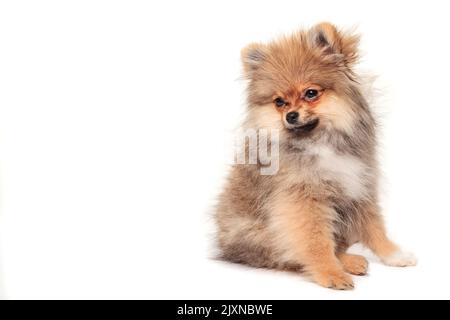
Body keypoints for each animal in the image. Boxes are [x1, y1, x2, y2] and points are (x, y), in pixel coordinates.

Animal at [216, 21, 416, 288]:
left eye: (310, 93)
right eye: (279, 102)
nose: (290, 115)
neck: (320, 142)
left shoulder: (359, 183)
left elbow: (374, 227)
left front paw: (394, 255)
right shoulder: (303, 200)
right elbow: (315, 242)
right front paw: (330, 273)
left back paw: (350, 260)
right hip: (259, 234)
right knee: (287, 256)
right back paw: (345, 263)